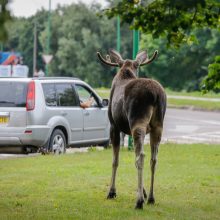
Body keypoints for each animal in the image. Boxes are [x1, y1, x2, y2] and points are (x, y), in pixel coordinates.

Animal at [97, 49, 166, 209]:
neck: (126, 70)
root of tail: (155, 95)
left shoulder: (114, 126)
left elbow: (115, 160)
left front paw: (112, 191)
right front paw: (144, 191)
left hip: (137, 121)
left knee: (141, 156)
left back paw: (139, 201)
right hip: (158, 125)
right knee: (153, 158)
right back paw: (151, 197)